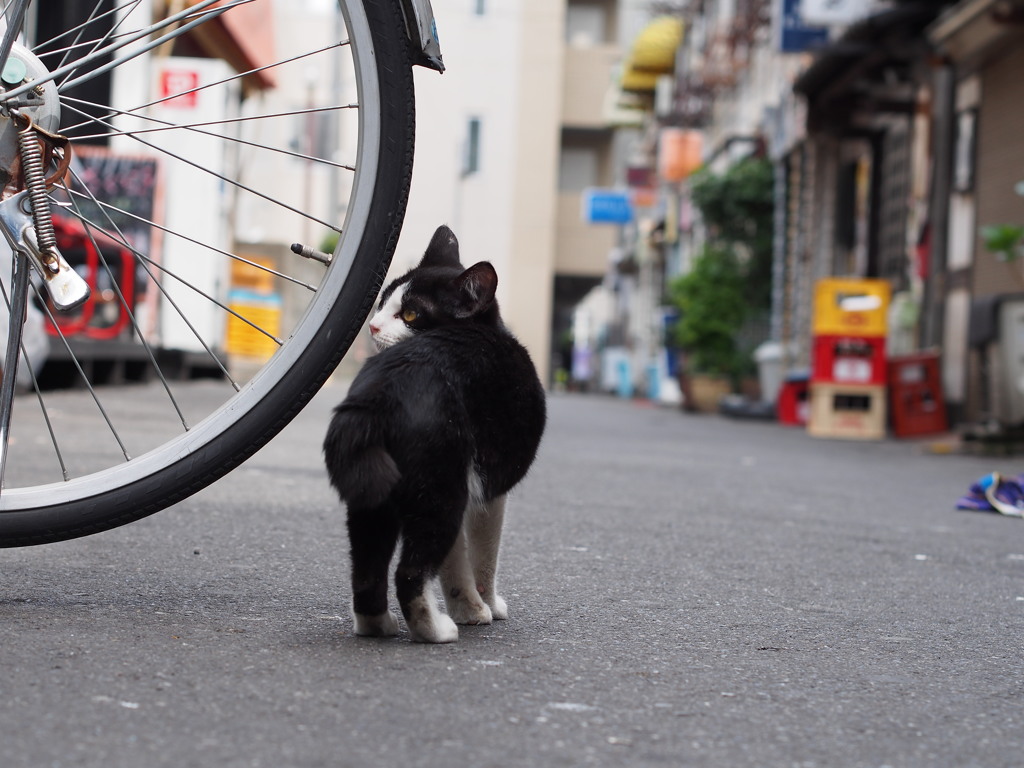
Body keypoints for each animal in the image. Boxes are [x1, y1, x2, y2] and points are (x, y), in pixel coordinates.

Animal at [323, 227, 548, 643]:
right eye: (383, 301)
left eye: (410, 313)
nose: (372, 326)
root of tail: (379, 393)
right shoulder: (487, 491)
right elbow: (483, 556)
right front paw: (484, 607)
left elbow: (454, 563)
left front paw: (469, 608)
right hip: (439, 486)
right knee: (410, 571)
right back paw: (435, 630)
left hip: (373, 492)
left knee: (367, 567)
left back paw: (377, 625)